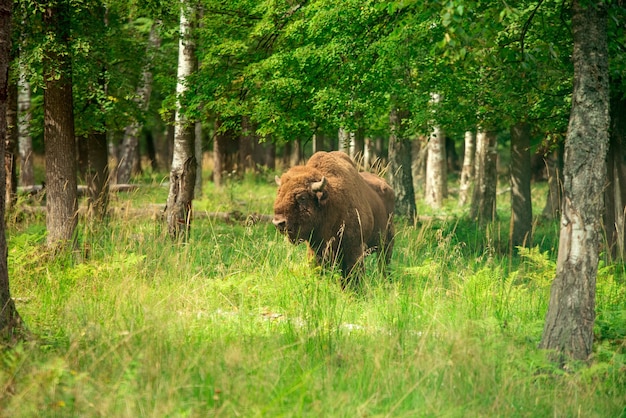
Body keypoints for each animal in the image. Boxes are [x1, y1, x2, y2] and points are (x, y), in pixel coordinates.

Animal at [270, 150, 392, 280]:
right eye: (279, 193)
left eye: (302, 197)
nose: (278, 223)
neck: (330, 204)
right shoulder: (316, 249)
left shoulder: (354, 248)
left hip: (387, 243)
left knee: (384, 263)